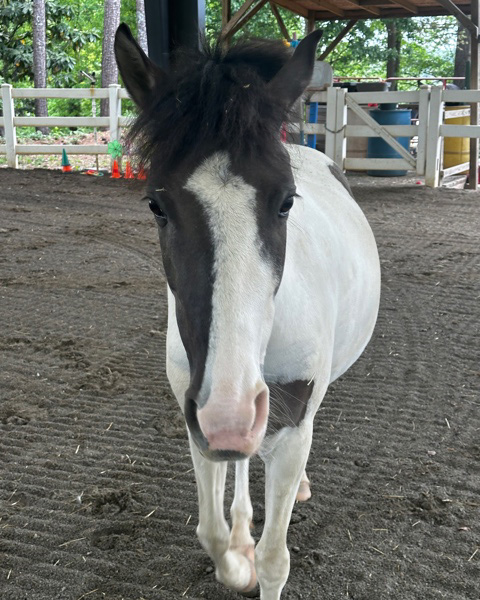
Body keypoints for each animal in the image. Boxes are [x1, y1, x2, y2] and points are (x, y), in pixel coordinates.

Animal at [114, 23, 380, 600]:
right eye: (156, 205)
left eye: (286, 202)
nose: (231, 418)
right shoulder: (199, 416)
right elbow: (211, 532)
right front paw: (237, 558)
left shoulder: (282, 420)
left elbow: (277, 560)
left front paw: (259, 559)